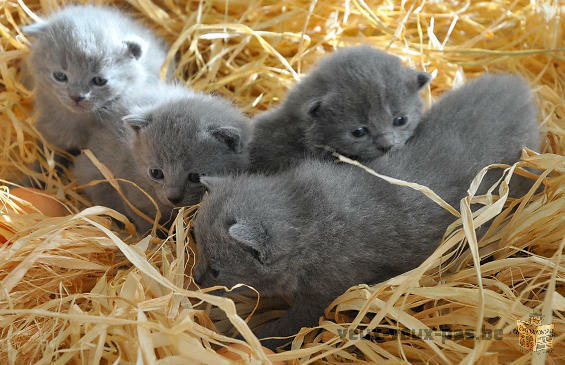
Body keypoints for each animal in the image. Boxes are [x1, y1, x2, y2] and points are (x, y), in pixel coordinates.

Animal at [191, 74, 536, 346]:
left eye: (216, 269)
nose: (195, 279)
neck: (307, 216)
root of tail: (518, 86)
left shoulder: (325, 289)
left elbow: (294, 324)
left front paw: (253, 335)